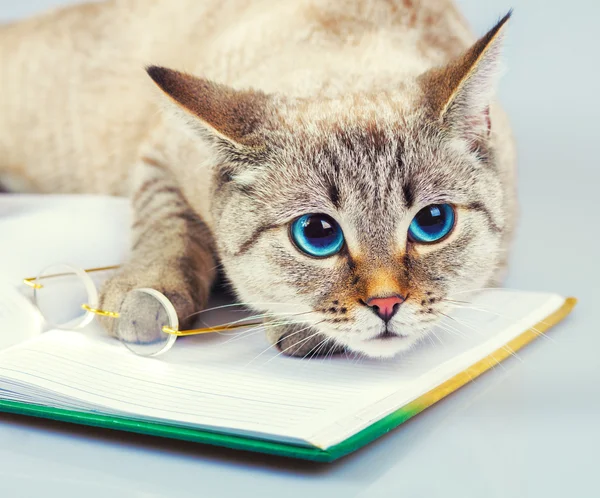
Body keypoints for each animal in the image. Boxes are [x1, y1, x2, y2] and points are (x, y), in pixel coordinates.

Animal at [0, 0, 516, 358]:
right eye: (317, 234)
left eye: (432, 223)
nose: (387, 304)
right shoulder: (157, 155)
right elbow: (168, 225)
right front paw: (147, 295)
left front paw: (298, 328)